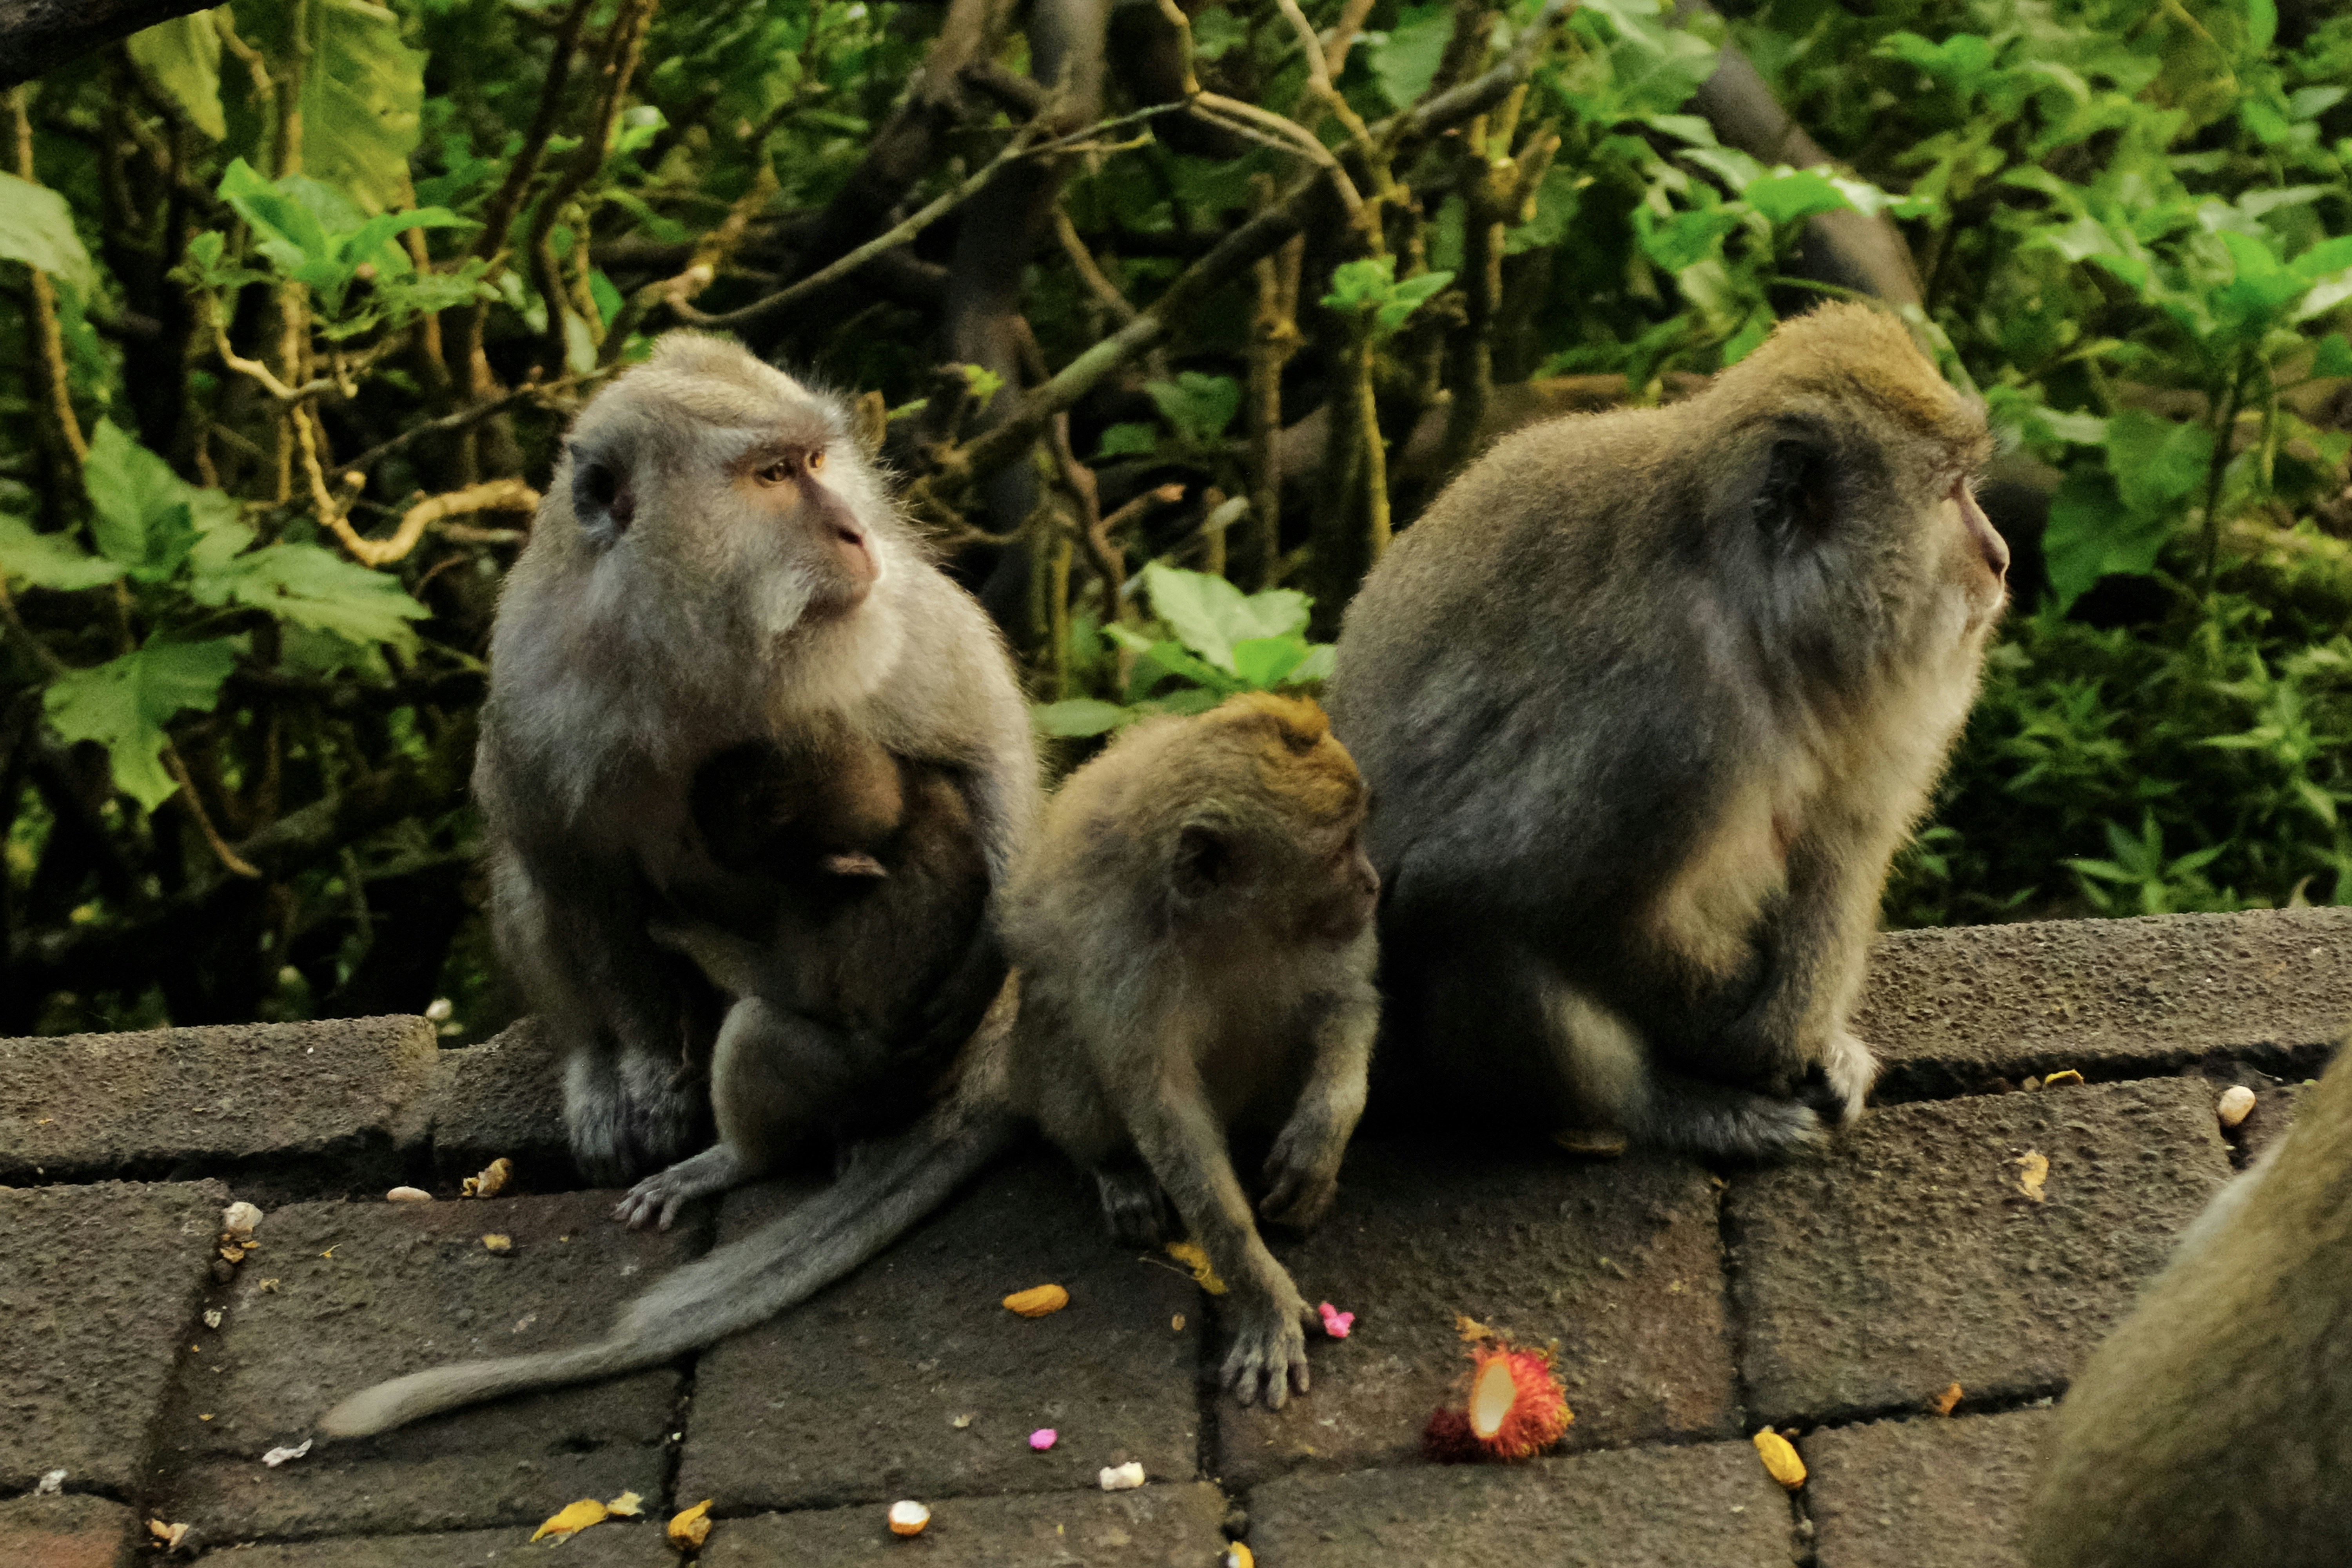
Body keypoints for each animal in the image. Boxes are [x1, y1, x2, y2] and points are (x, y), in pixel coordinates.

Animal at [320, 692, 1379, 1437]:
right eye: (1340, 846)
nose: (1372, 880)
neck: (1230, 927)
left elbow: (1346, 1004)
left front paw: (1322, 1137)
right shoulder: (1133, 960)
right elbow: (1163, 1112)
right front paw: (1262, 1289)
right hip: (1039, 1062)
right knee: (1072, 1064)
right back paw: (1107, 1167)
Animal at [468, 331, 1040, 1188]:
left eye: (816, 460)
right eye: (772, 475)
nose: (855, 532)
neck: (698, 642)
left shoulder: (891, 619)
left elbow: (984, 742)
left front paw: (978, 972)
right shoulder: (535, 679)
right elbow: (566, 859)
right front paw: (644, 1074)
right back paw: (597, 1068)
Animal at [1323, 301, 2008, 1158]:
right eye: (1951, 492)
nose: (2000, 556)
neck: (1760, 616)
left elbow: (1839, 843)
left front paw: (1809, 1031)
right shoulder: (1671, 718)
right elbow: (1489, 884)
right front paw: (1753, 1050)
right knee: (1479, 925)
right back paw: (1666, 1109)